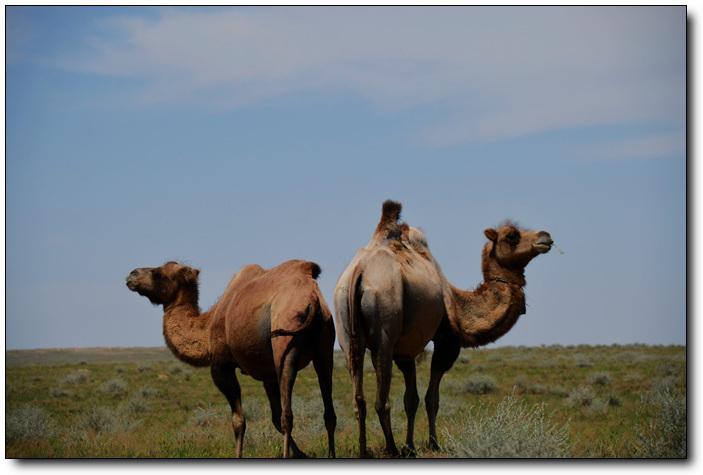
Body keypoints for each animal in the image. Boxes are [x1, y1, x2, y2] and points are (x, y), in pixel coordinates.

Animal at [126, 258, 338, 460]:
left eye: (156, 273)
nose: (131, 274)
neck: (207, 329)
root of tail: (312, 297)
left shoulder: (222, 365)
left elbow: (239, 421)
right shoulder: (267, 374)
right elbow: (274, 417)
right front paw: (302, 454)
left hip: (285, 345)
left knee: (288, 415)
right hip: (325, 346)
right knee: (328, 411)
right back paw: (331, 455)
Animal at [332, 202, 552, 458]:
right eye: (513, 236)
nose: (546, 236)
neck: (458, 304)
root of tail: (359, 271)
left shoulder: (405, 351)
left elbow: (411, 399)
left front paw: (410, 446)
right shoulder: (446, 341)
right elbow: (431, 398)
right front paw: (432, 444)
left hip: (346, 329)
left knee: (359, 397)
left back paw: (364, 450)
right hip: (384, 320)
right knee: (381, 400)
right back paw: (392, 449)